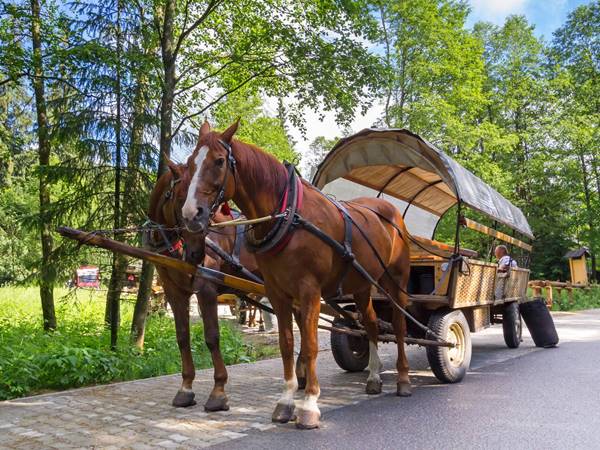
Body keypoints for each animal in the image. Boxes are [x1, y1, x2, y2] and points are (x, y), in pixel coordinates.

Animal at [146, 160, 258, 414]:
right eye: (180, 197)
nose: (196, 253)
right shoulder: (173, 292)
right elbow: (182, 336)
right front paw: (185, 388)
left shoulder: (206, 289)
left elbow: (212, 337)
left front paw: (218, 391)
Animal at [180, 121, 410, 430]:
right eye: (191, 163)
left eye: (218, 161)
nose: (191, 214)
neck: (288, 217)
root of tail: (391, 210)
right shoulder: (278, 292)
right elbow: (287, 344)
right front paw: (286, 401)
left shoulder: (310, 291)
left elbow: (310, 345)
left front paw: (309, 404)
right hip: (362, 285)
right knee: (371, 324)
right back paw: (374, 377)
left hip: (395, 282)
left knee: (399, 325)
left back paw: (404, 379)